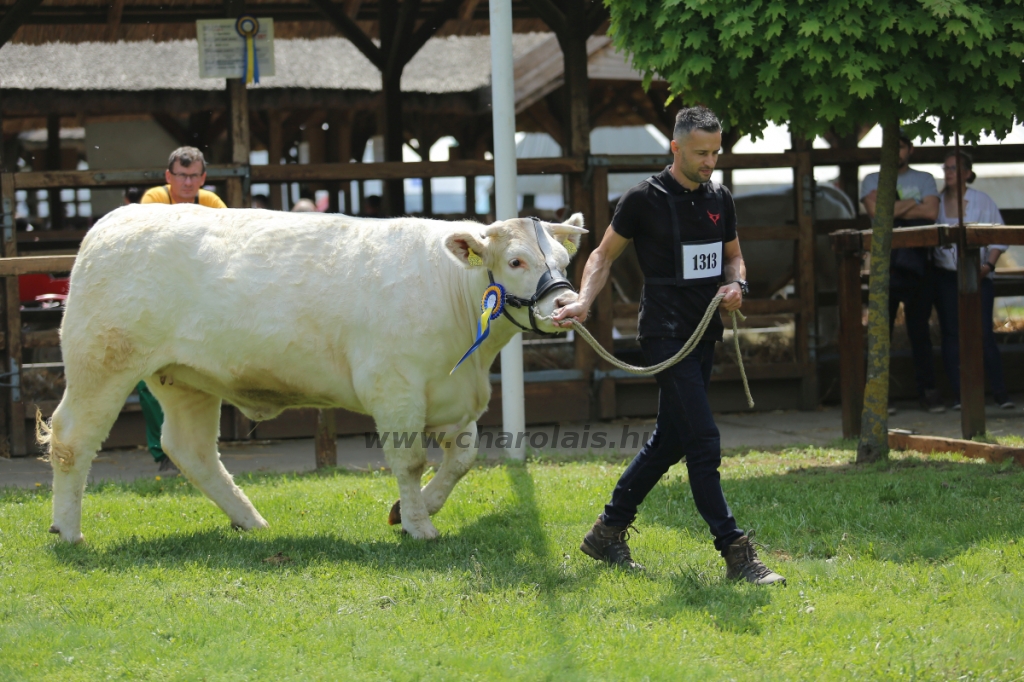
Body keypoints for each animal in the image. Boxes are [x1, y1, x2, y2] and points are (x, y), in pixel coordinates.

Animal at [41, 204, 585, 540]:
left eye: (563, 260)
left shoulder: (452, 393)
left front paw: (414, 510)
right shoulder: (396, 389)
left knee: (190, 449)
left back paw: (250, 520)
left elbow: (463, 459)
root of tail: (114, 220)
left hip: (182, 377)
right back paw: (68, 530)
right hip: (101, 361)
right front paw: (419, 526)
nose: (566, 305)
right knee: (72, 439)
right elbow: (410, 461)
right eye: (515, 261)